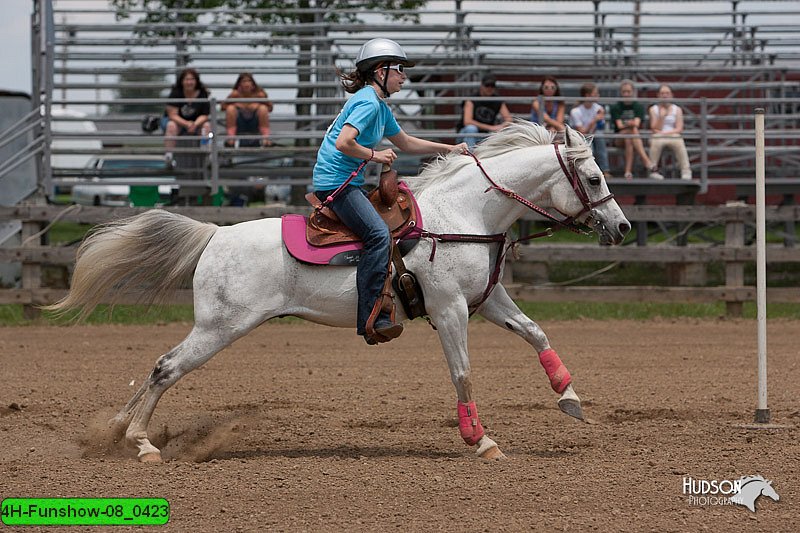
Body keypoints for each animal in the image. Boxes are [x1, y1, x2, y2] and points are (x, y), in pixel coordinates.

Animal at [48, 121, 632, 462]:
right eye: (595, 179)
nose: (622, 227)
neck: (462, 217)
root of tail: (216, 235)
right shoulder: (450, 310)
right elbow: (463, 373)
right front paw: (480, 440)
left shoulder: (485, 301)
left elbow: (536, 332)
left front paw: (570, 399)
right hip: (219, 328)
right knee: (166, 367)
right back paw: (141, 443)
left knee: (157, 368)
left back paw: (117, 430)